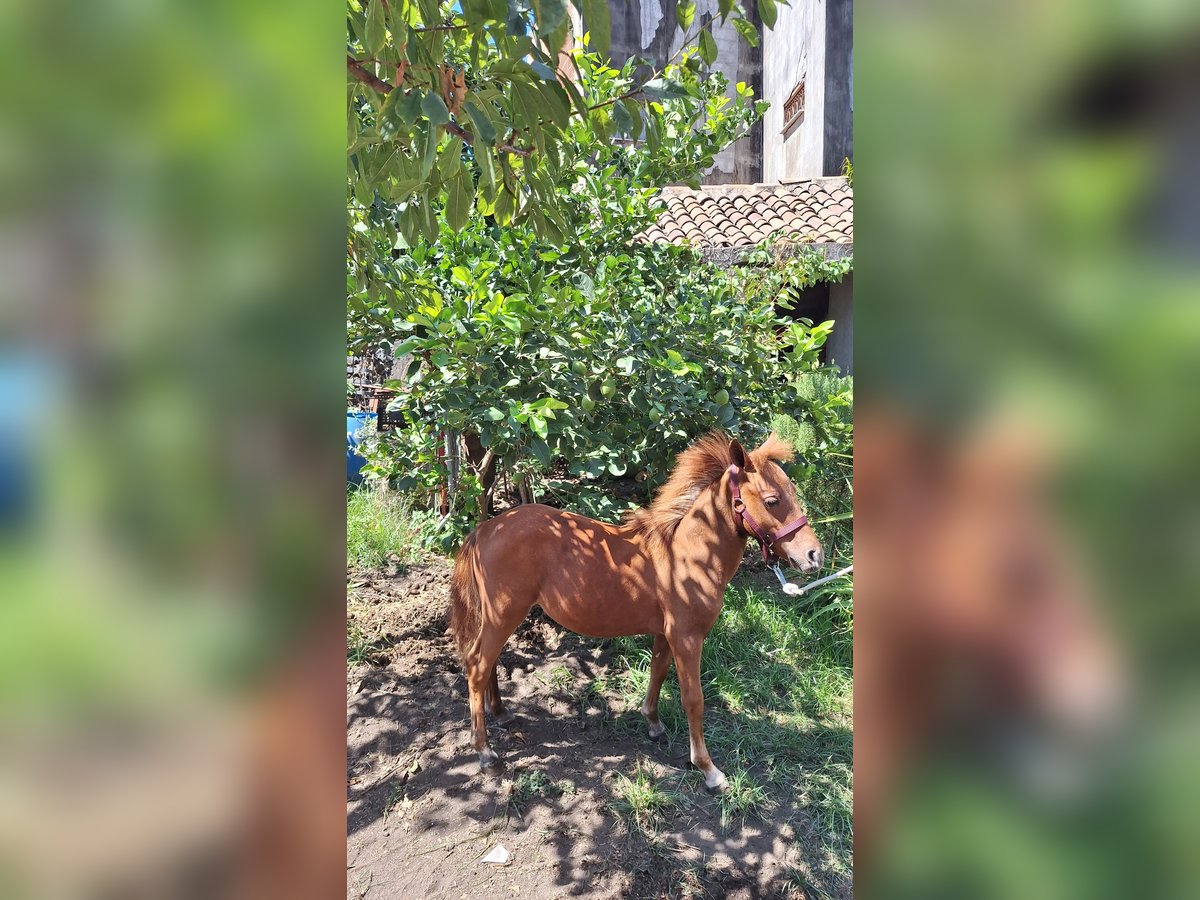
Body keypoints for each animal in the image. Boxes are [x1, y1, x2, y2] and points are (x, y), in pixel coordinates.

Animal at [447, 430, 824, 791]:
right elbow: (694, 699)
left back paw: (501, 712)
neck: (687, 553)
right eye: (772, 500)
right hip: (503, 614)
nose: (814, 556)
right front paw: (708, 770)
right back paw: (484, 751)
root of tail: (485, 528)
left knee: (488, 662)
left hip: (501, 618)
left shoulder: (665, 634)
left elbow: (657, 673)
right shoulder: (688, 638)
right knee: (477, 666)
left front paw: (653, 723)